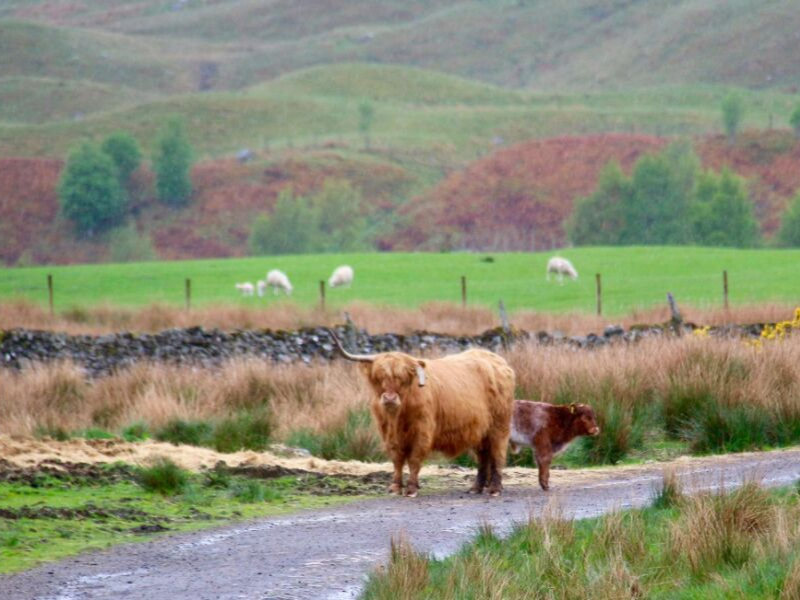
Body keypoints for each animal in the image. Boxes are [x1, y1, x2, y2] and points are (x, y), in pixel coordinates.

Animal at [328, 330, 515, 497]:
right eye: (378, 376)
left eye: (402, 377)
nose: (389, 398)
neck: (397, 417)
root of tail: (497, 361)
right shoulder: (388, 435)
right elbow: (397, 459)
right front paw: (395, 488)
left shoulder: (422, 433)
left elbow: (414, 459)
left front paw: (411, 489)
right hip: (479, 430)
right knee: (483, 457)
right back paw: (476, 488)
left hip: (499, 426)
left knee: (497, 454)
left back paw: (494, 489)